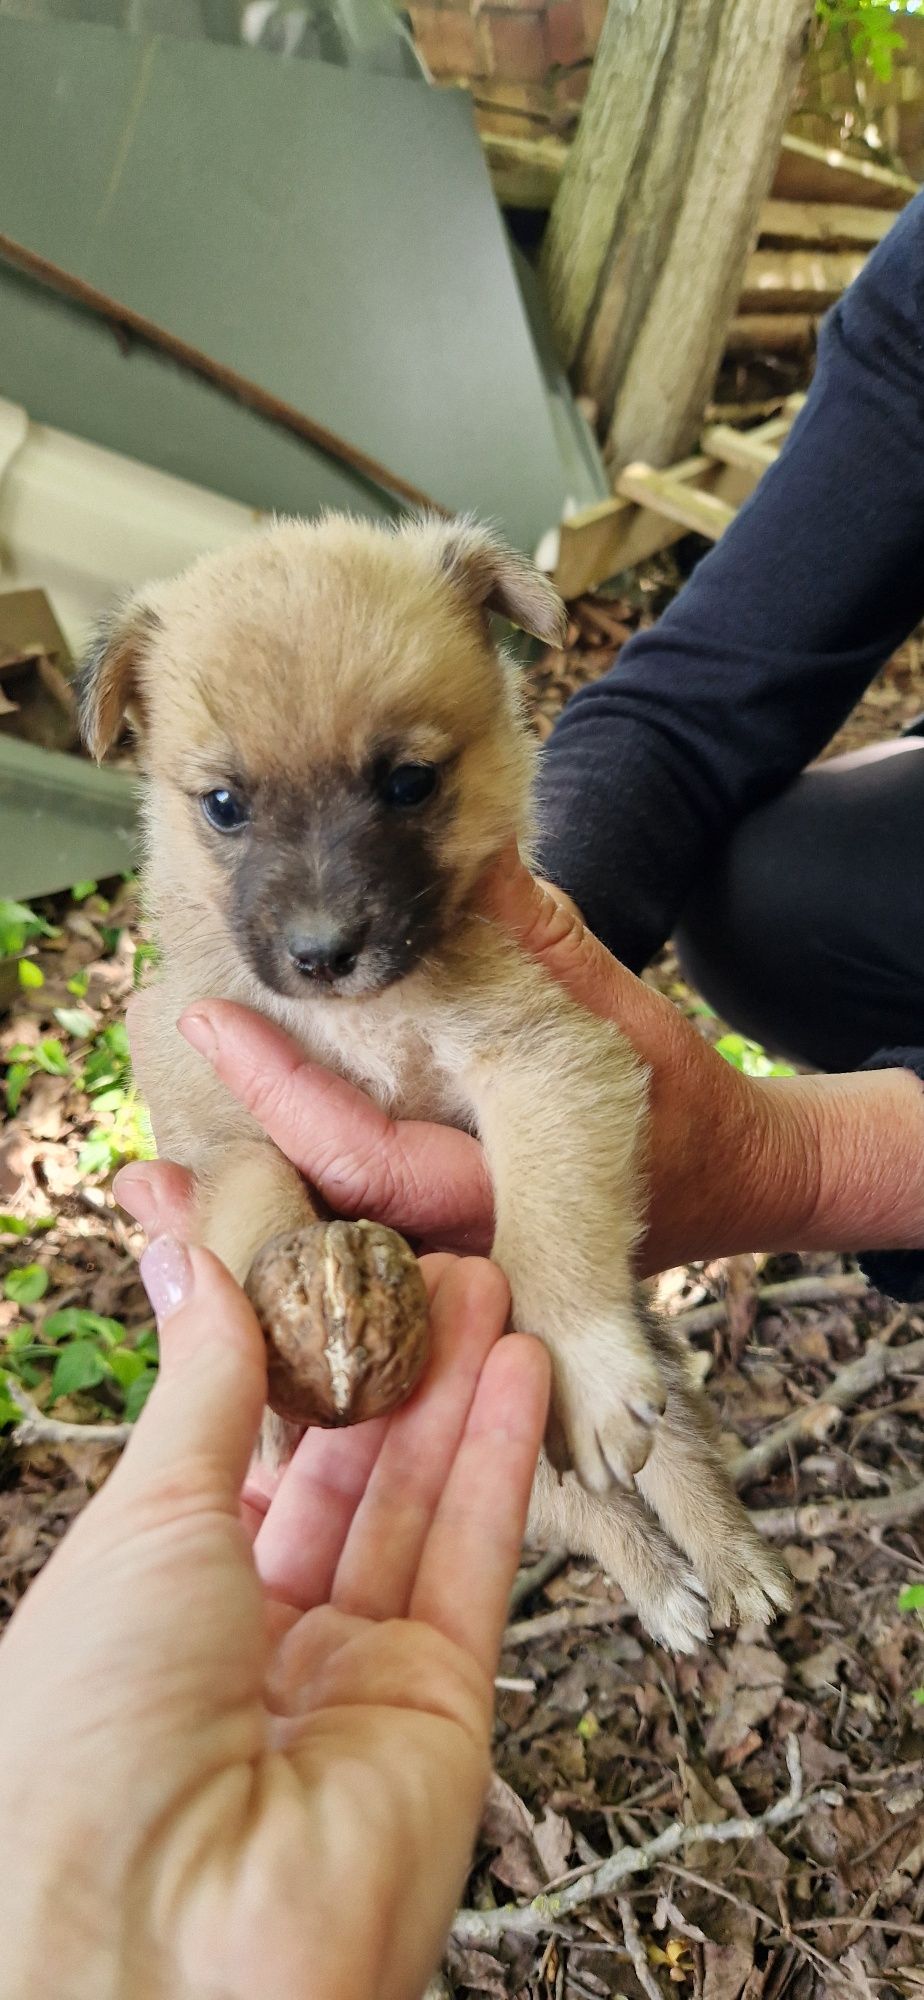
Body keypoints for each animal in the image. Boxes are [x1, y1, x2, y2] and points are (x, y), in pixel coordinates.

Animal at [79, 516, 792, 1656]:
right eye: (225, 806)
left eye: (408, 782)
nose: (323, 953)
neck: (365, 1018)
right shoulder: (216, 1127)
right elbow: (258, 1202)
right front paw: (276, 1372)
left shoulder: (540, 1056)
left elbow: (547, 1222)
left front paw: (575, 1360)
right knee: (588, 1509)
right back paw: (662, 1585)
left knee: (668, 1450)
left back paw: (729, 1567)